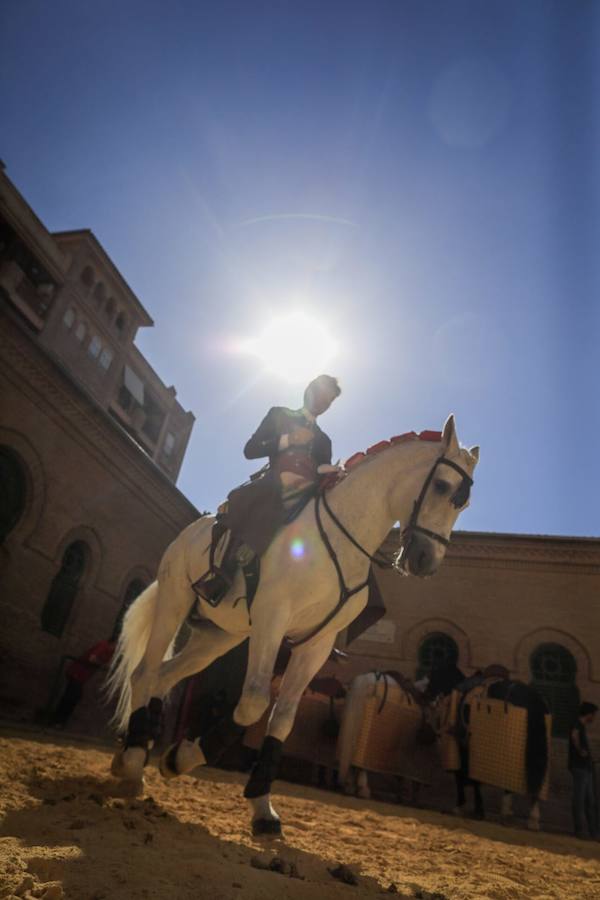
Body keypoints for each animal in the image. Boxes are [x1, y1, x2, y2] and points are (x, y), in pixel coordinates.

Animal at [104, 414, 478, 836]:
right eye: (442, 486)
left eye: (464, 501)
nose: (426, 560)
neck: (339, 540)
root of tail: (192, 530)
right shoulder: (272, 618)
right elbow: (253, 703)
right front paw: (183, 756)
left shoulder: (316, 643)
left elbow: (281, 718)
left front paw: (261, 806)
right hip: (175, 599)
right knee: (144, 673)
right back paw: (132, 760)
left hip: (220, 637)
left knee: (164, 677)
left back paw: (135, 757)